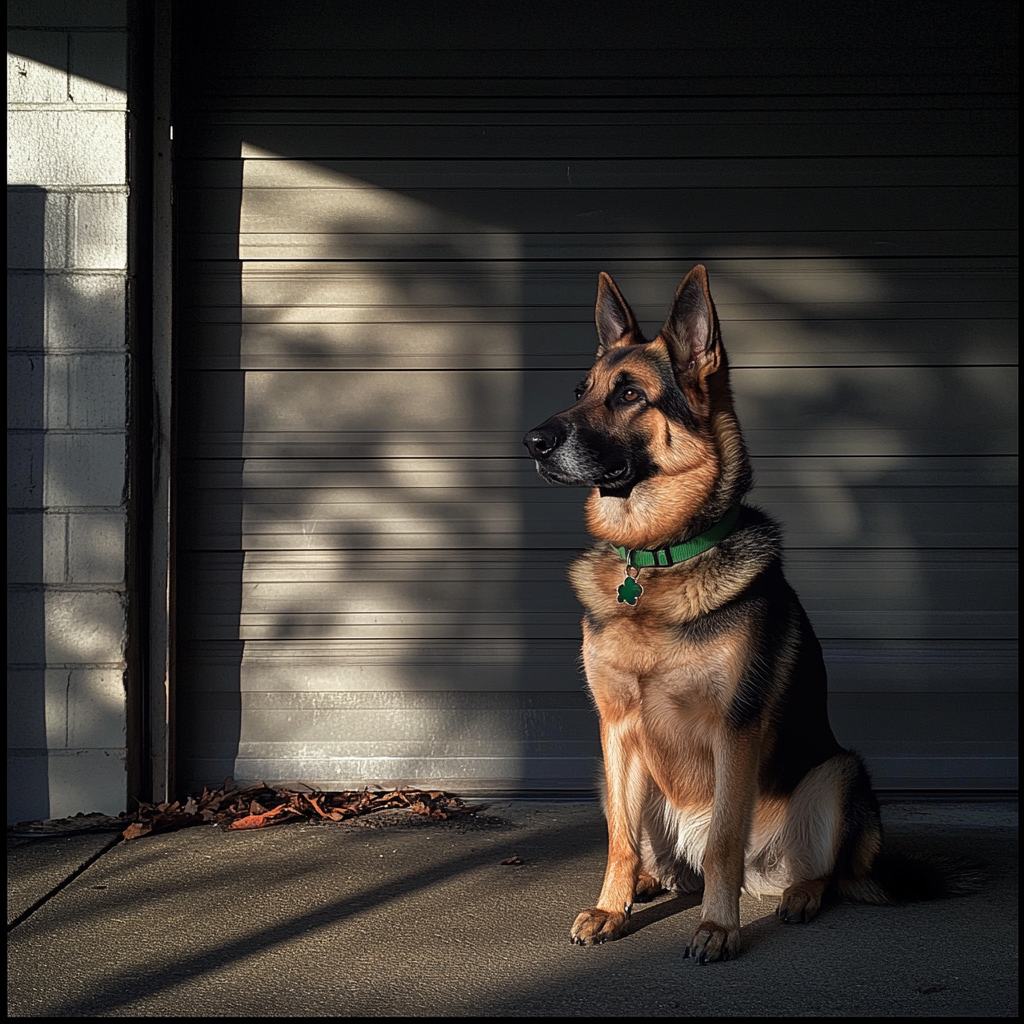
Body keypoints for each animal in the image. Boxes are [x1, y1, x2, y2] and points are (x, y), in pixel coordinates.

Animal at [528, 268, 950, 962]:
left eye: (630, 394)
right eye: (581, 391)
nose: (533, 442)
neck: (659, 558)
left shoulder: (735, 729)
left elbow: (725, 839)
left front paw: (717, 928)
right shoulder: (616, 726)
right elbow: (618, 838)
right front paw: (611, 907)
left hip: (838, 772)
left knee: (822, 870)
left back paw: (797, 895)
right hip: (616, 772)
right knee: (657, 853)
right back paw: (647, 883)